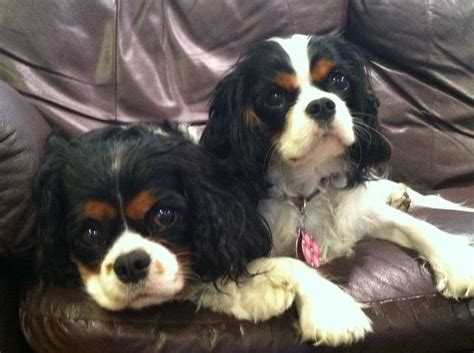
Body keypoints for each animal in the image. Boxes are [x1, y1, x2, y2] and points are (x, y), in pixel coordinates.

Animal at [200, 35, 474, 344]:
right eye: (275, 97)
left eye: (338, 79)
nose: (322, 104)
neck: (308, 187)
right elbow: (290, 264)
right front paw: (333, 311)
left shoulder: (358, 212)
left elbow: (414, 226)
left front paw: (458, 262)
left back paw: (399, 195)